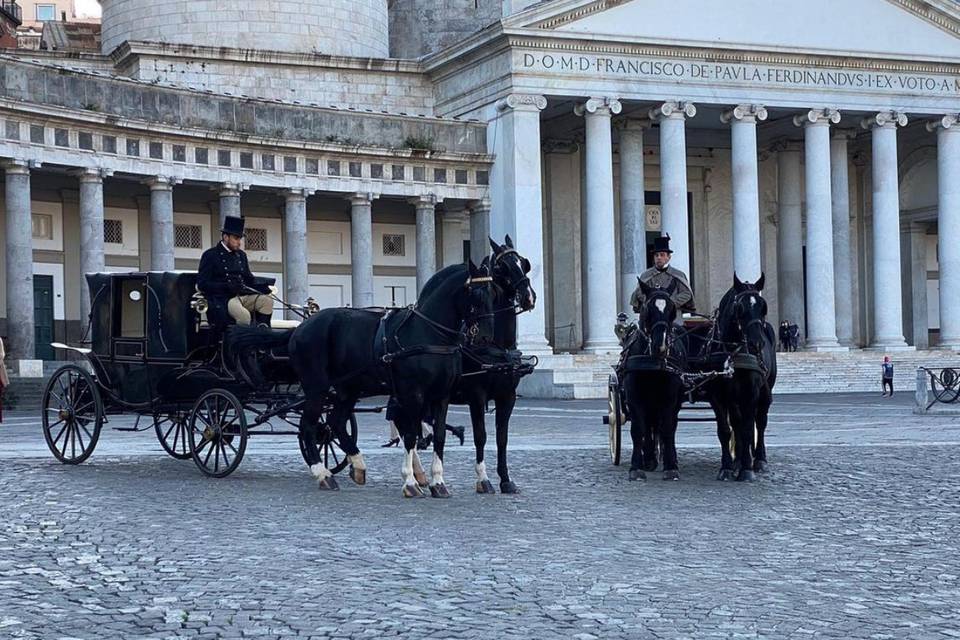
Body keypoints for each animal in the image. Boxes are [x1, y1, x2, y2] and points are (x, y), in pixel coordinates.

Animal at [286, 260, 496, 496]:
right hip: (317, 387)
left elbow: (439, 435)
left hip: (348, 388)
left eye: (492, 292)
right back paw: (323, 474)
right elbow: (411, 435)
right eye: (475, 294)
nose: (485, 337)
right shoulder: (412, 394)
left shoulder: (442, 395)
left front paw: (438, 482)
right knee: (309, 426)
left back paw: (358, 465)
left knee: (337, 423)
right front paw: (410, 482)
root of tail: (302, 327)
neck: (430, 334)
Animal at [446, 235, 536, 496]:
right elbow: (481, 436)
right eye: (502, 267)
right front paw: (483, 479)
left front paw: (505, 479)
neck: (497, 348)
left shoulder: (508, 396)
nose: (528, 296)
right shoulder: (476, 396)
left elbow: (502, 438)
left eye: (523, 262)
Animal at [620, 280, 688, 480]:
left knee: (665, 425)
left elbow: (667, 428)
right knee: (649, 424)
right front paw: (636, 467)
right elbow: (638, 430)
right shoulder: (634, 397)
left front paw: (671, 466)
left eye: (672, 309)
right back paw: (649, 458)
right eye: (648, 308)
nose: (661, 346)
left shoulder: (669, 398)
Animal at [696, 274, 780, 480]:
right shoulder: (718, 395)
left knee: (761, 421)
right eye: (739, 308)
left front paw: (747, 470)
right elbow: (726, 430)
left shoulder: (751, 392)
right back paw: (738, 461)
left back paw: (759, 460)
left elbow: (749, 429)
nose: (756, 344)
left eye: (763, 306)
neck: (732, 353)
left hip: (766, 391)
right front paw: (727, 467)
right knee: (737, 423)